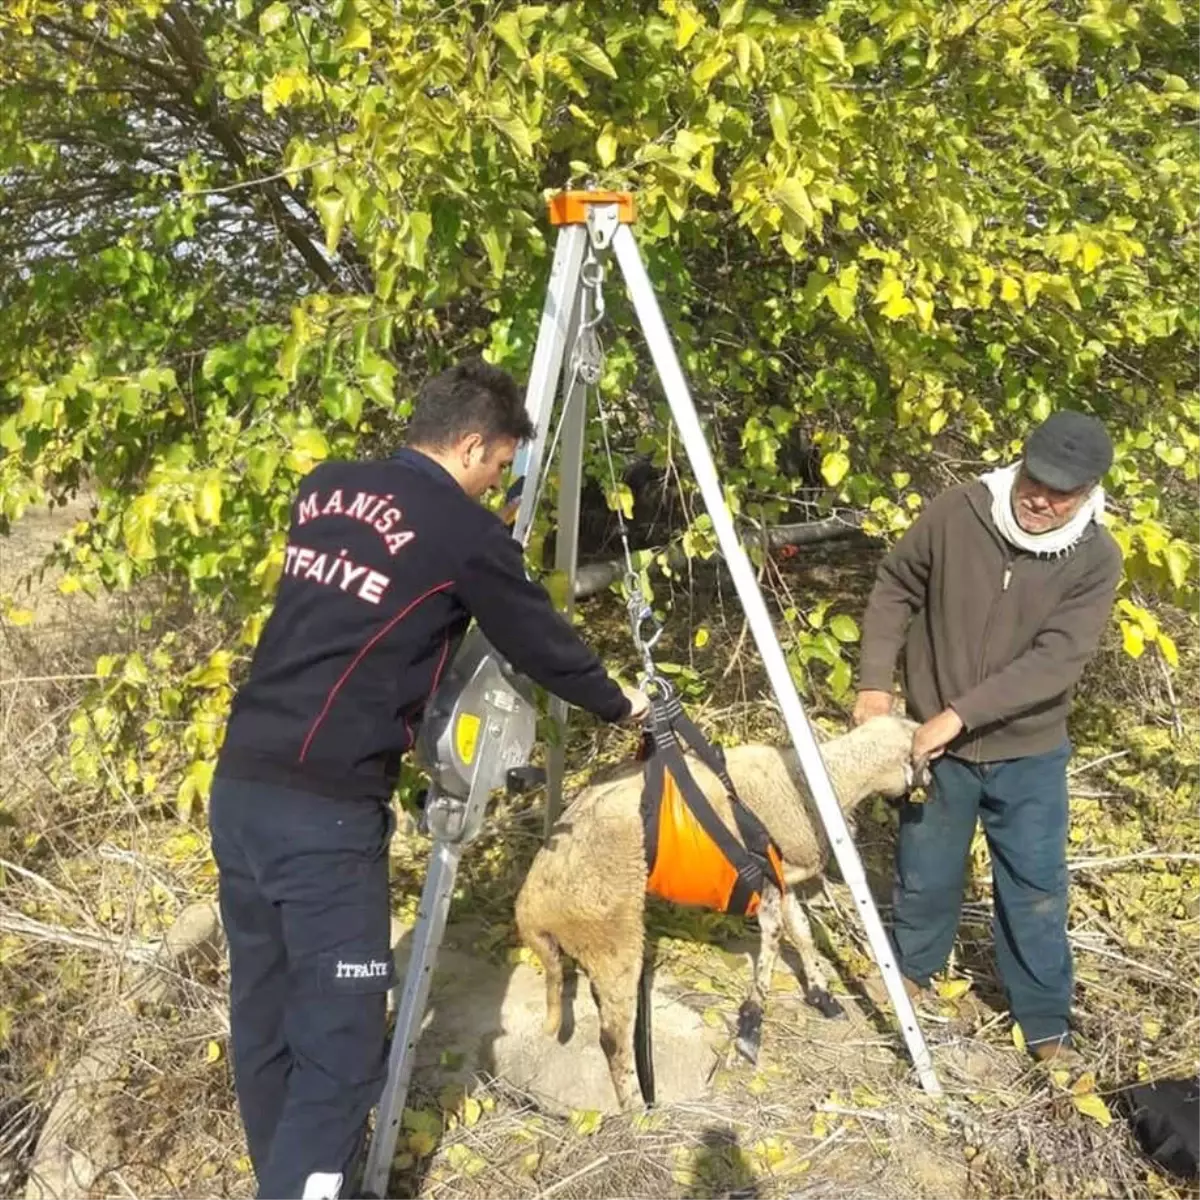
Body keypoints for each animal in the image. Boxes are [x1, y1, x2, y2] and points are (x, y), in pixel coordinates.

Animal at [513, 710, 926, 1113]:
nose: (924, 796)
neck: (824, 781)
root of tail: (529, 909)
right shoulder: (765, 878)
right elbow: (774, 940)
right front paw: (751, 1023)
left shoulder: (783, 877)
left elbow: (802, 931)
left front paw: (822, 995)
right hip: (613, 939)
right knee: (613, 1038)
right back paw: (636, 1111)